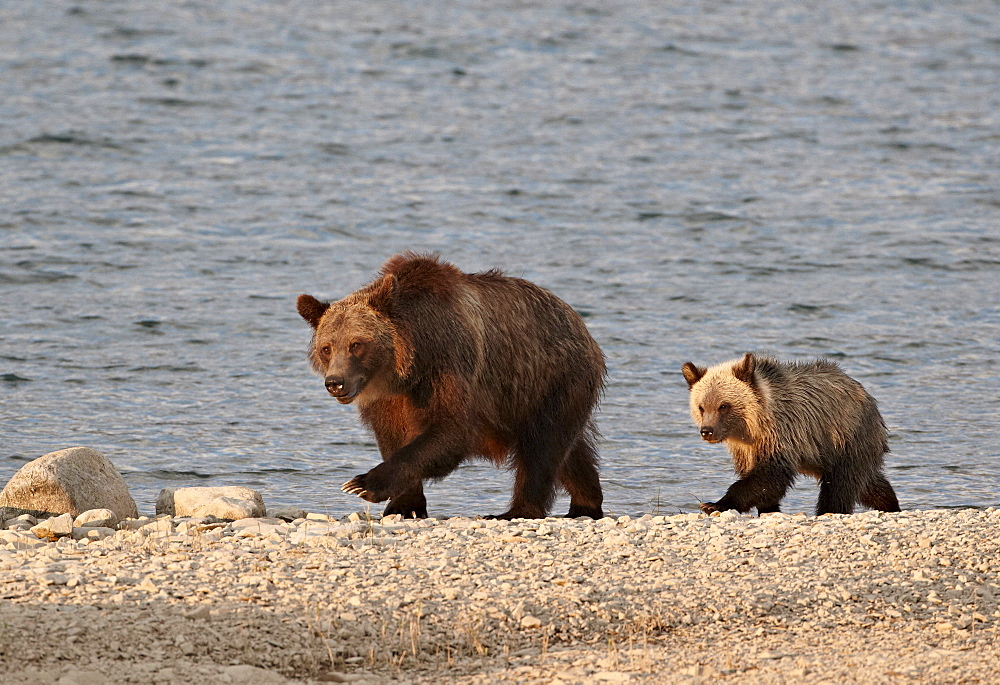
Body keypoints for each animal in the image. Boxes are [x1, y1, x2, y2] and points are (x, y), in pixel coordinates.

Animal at [296, 252, 604, 520]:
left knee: (541, 448)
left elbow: (450, 430)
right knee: (570, 452)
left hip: (549, 380)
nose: (335, 383)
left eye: (356, 344)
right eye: (326, 347)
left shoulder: (449, 365)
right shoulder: (389, 398)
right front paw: (404, 505)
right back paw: (586, 503)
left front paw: (363, 484)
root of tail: (579, 323)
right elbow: (392, 435)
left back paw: (517, 510)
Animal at [680, 350, 900, 516]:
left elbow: (770, 475)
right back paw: (890, 504)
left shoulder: (782, 432)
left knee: (841, 484)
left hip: (848, 436)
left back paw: (830, 510)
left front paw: (713, 504)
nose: (707, 431)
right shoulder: (745, 447)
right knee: (868, 483)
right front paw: (769, 508)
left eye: (723, 406)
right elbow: (759, 479)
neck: (751, 427)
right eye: (701, 407)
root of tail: (867, 396)